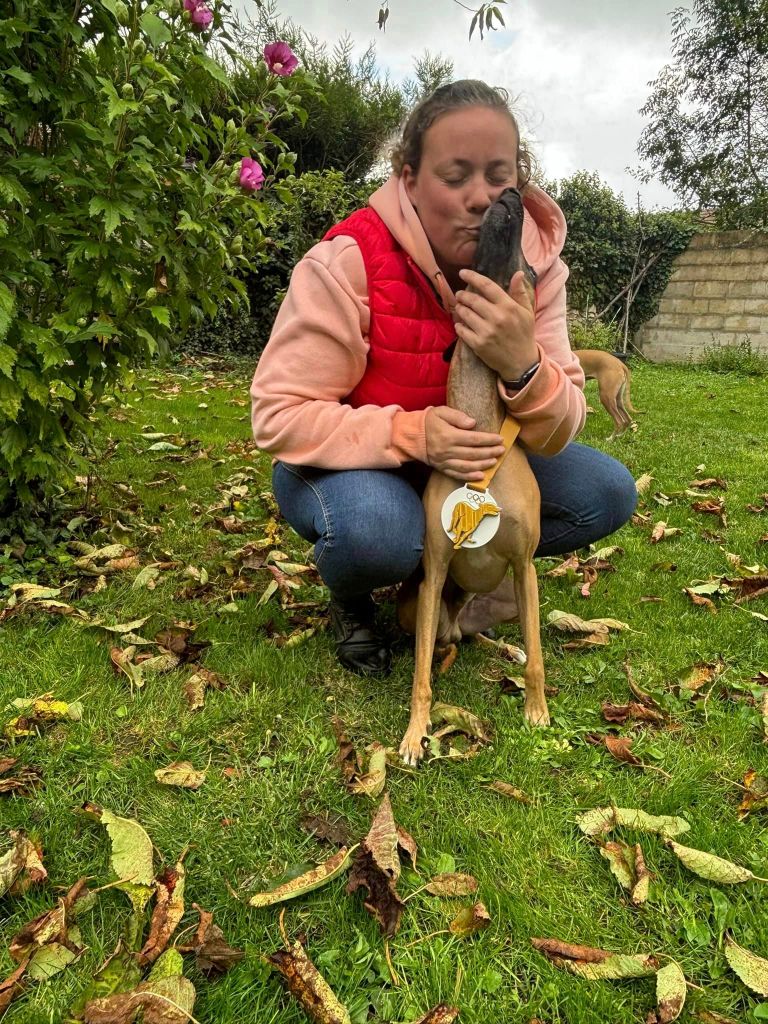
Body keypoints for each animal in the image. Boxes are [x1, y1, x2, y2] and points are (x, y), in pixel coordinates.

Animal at [399, 190, 548, 770]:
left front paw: (537, 711)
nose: (509, 193)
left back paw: (505, 646)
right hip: (424, 608)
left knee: (497, 635)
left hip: (512, 593)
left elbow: (538, 657)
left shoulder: (525, 567)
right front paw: (414, 734)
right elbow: (419, 673)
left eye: (532, 268)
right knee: (444, 641)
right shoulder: (435, 572)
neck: (482, 421)